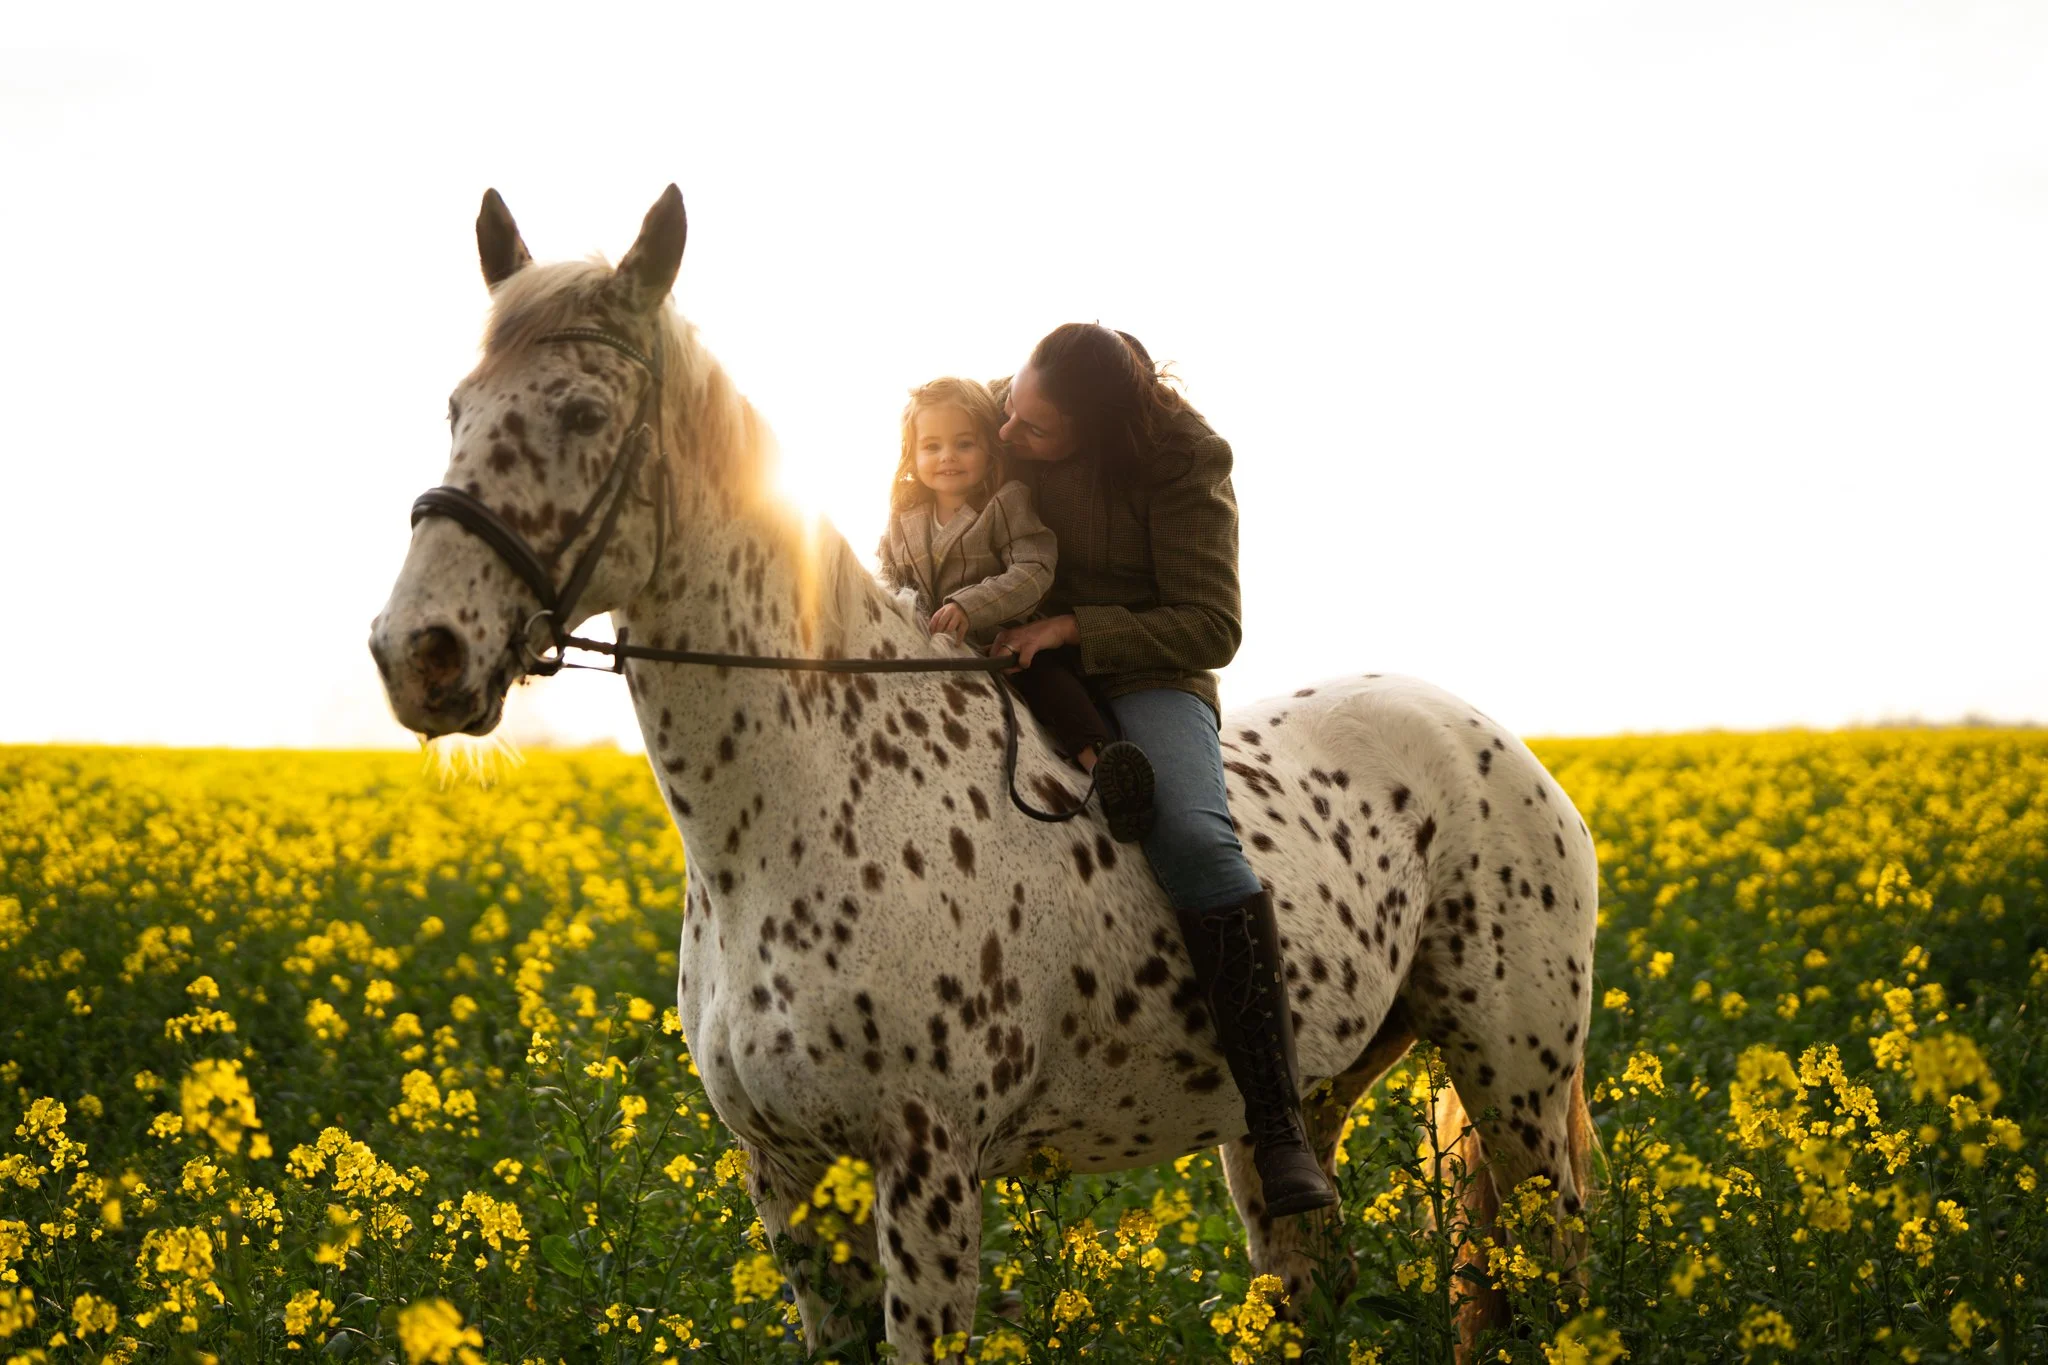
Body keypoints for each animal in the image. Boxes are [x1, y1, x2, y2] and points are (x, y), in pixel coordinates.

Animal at [369, 185, 1599, 1362]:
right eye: (456, 409)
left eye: (583, 413)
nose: (415, 653)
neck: (799, 805)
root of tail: (1500, 748)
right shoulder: (786, 1177)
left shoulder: (925, 1168)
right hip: (1304, 1104)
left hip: (1518, 1088)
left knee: (1559, 1284)